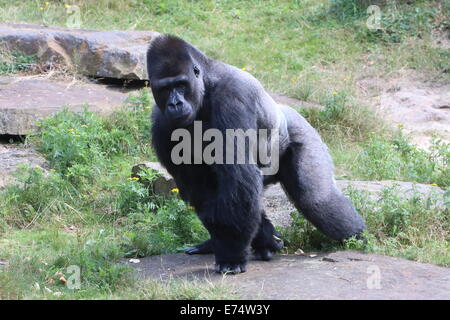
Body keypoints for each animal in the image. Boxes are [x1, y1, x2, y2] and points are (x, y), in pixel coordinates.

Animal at [148, 35, 366, 276]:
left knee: (317, 199)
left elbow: (238, 174)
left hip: (302, 130)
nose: (174, 103)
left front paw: (232, 254)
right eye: (164, 88)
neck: (206, 81)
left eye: (180, 84)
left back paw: (357, 237)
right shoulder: (161, 123)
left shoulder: (233, 96)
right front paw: (264, 238)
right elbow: (198, 186)